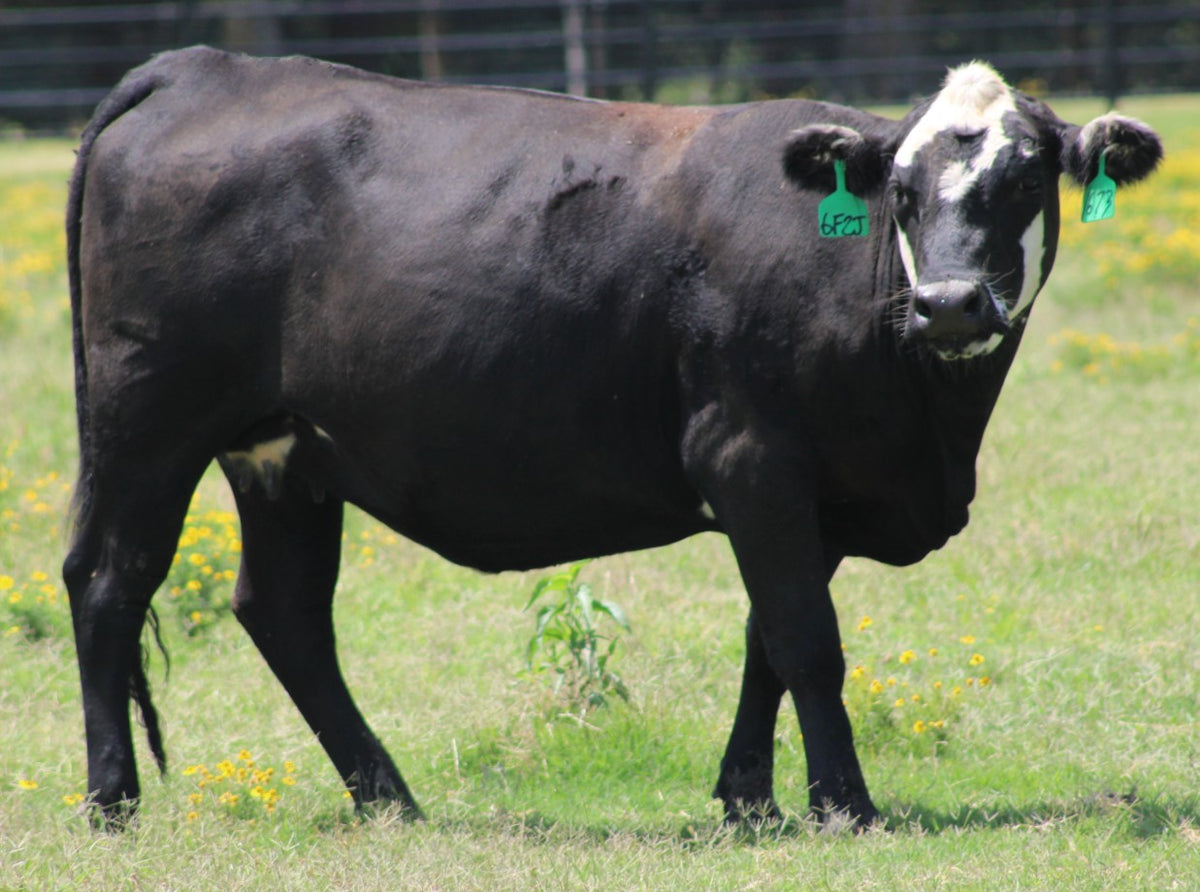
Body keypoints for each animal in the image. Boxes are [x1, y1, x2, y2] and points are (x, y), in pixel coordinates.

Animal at [64, 46, 1162, 829]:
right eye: (900, 190)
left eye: (1026, 182)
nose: (947, 304)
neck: (925, 413)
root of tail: (202, 65)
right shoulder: (752, 458)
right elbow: (809, 642)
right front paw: (844, 803)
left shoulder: (811, 494)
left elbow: (767, 639)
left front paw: (748, 797)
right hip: (145, 421)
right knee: (110, 580)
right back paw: (114, 799)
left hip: (282, 453)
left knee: (284, 610)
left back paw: (388, 797)